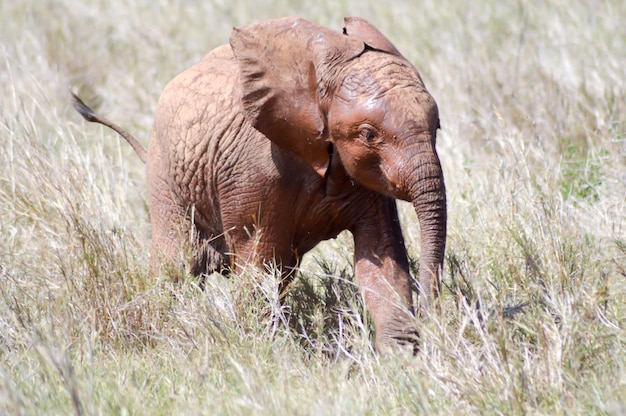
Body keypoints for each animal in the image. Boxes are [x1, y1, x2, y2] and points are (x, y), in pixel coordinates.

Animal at [73, 17, 444, 352]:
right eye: (368, 134)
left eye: (437, 126)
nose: (432, 314)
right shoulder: (256, 174)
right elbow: (258, 267)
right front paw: (266, 354)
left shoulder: (367, 178)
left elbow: (381, 259)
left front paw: (401, 361)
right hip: (165, 174)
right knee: (176, 265)